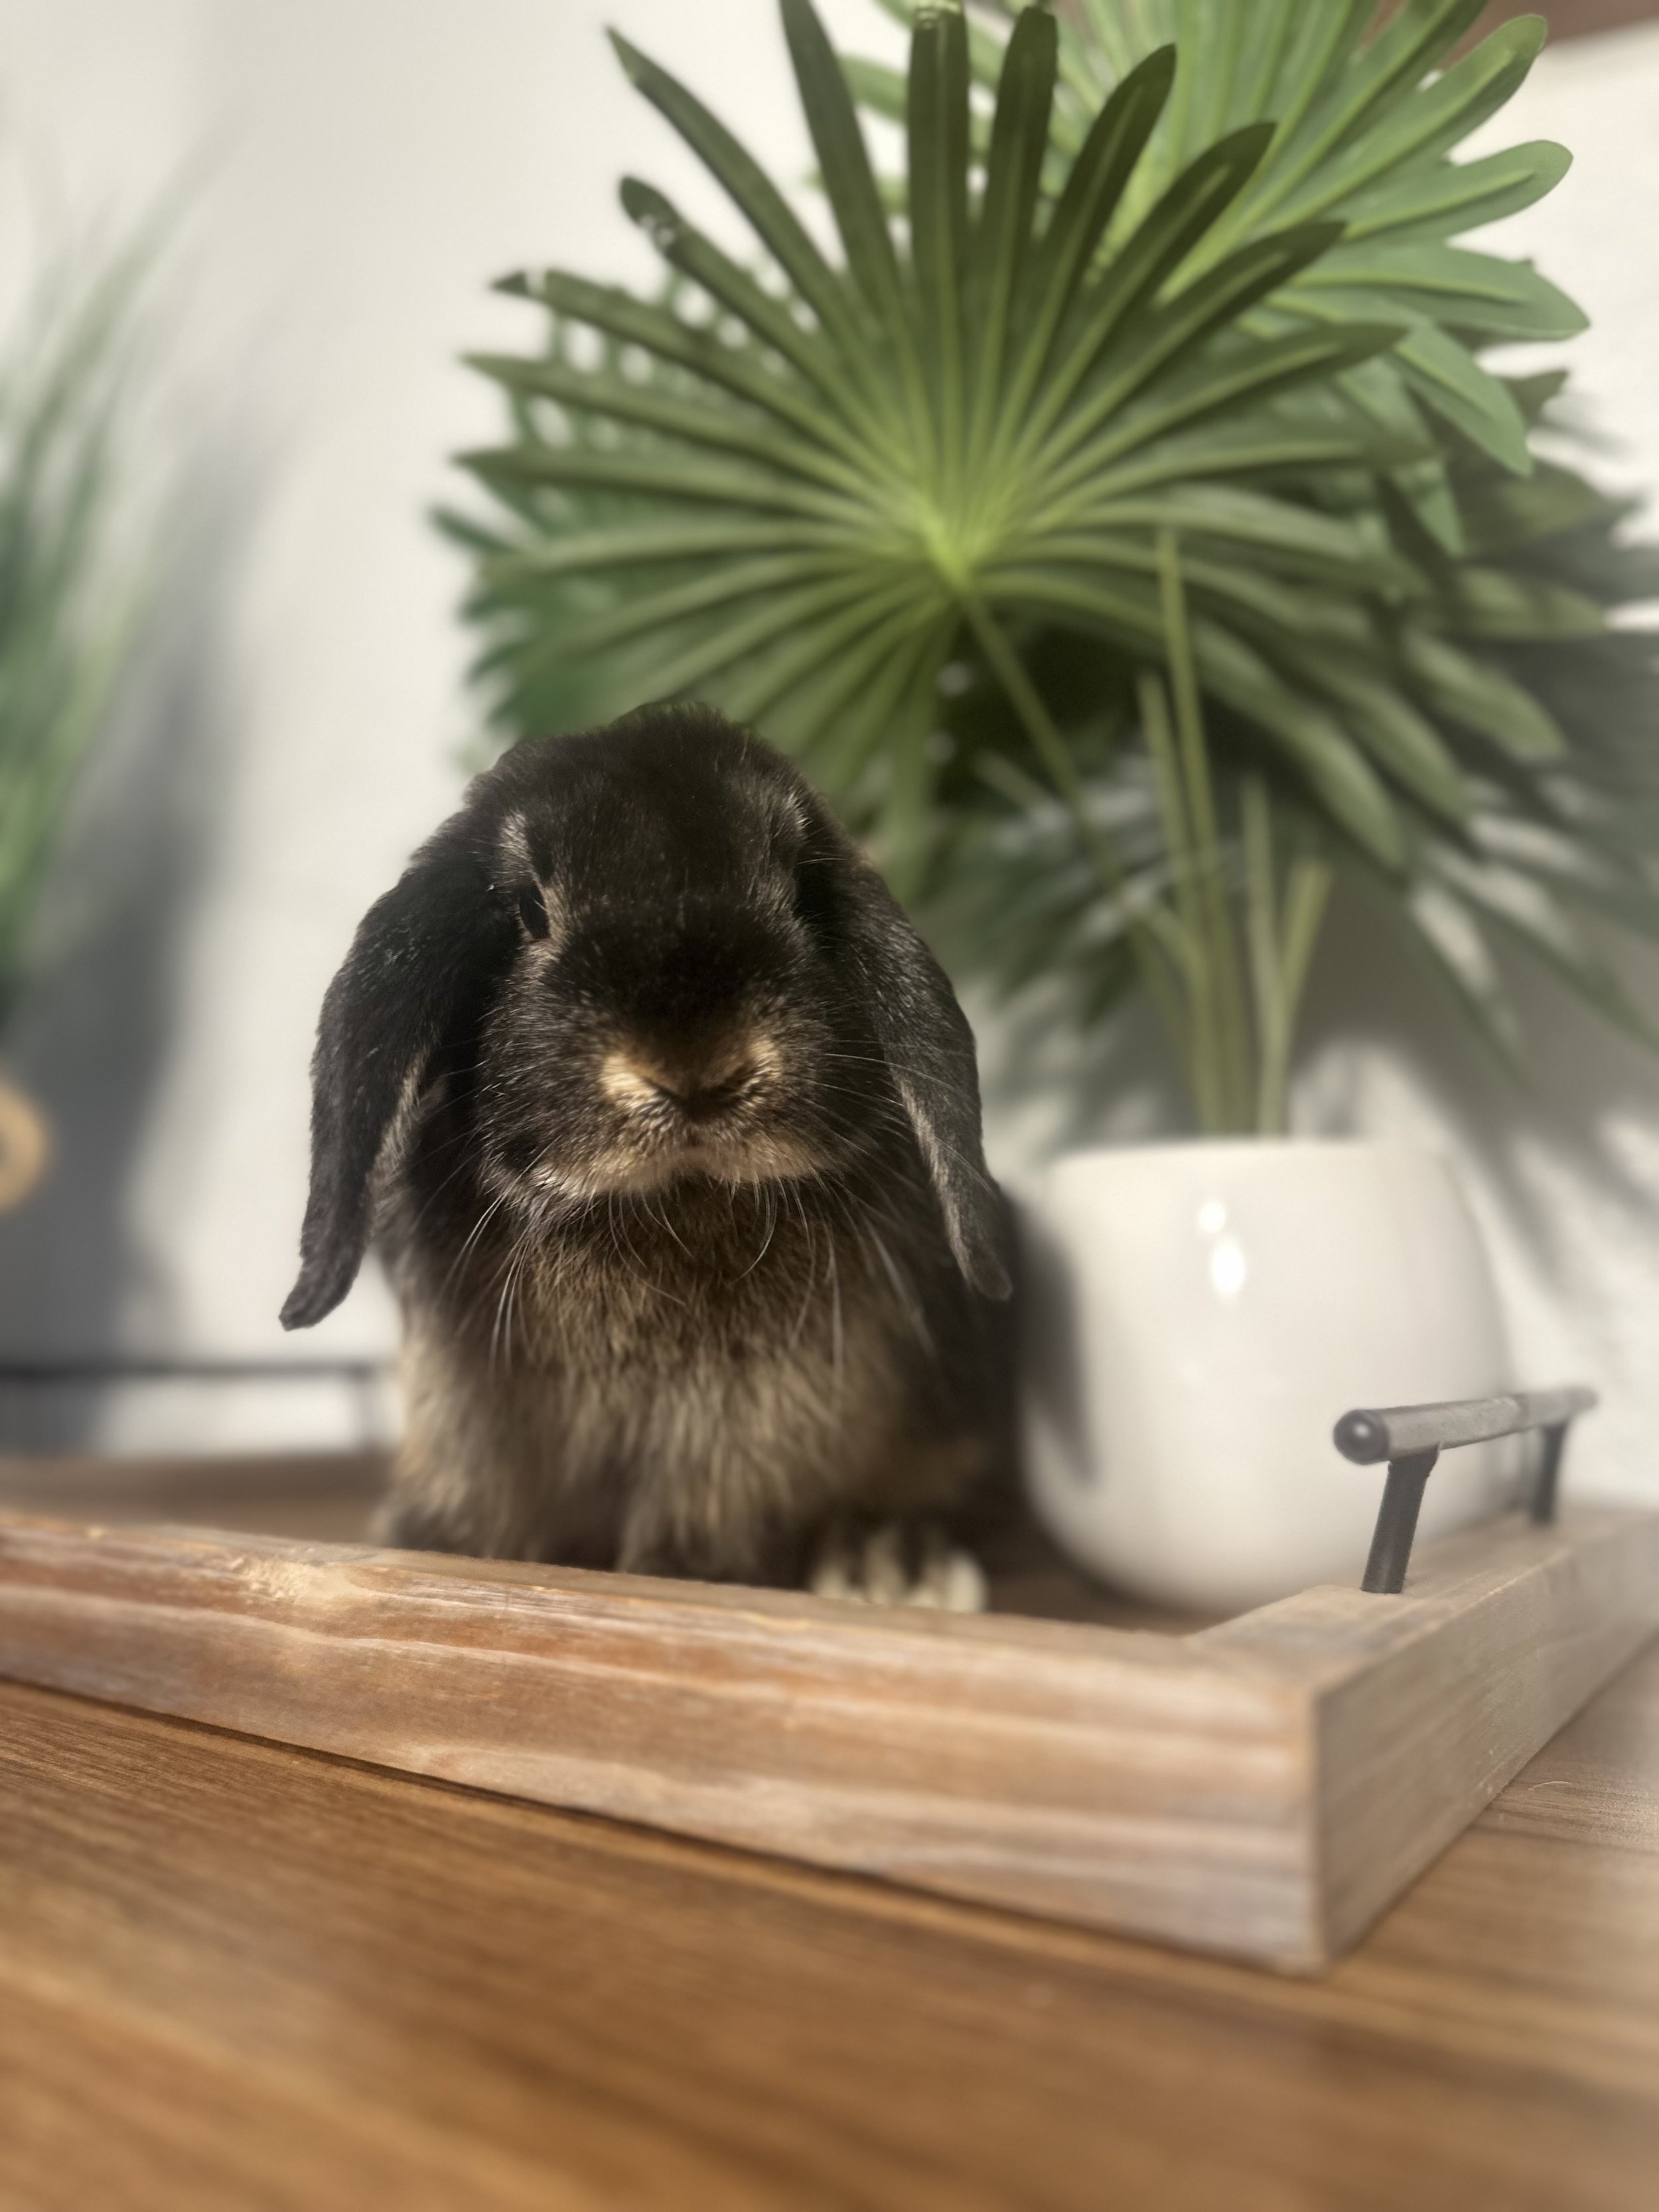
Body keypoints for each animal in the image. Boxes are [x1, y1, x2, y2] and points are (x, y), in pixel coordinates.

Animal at [281, 702, 1012, 1605]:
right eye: (527, 909)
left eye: (801, 894)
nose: (697, 1070)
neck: (671, 1202)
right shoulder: (461, 1405)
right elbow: (476, 1495)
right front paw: (439, 1550)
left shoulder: (760, 1412)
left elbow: (712, 1503)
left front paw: (686, 1574)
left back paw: (893, 1565)